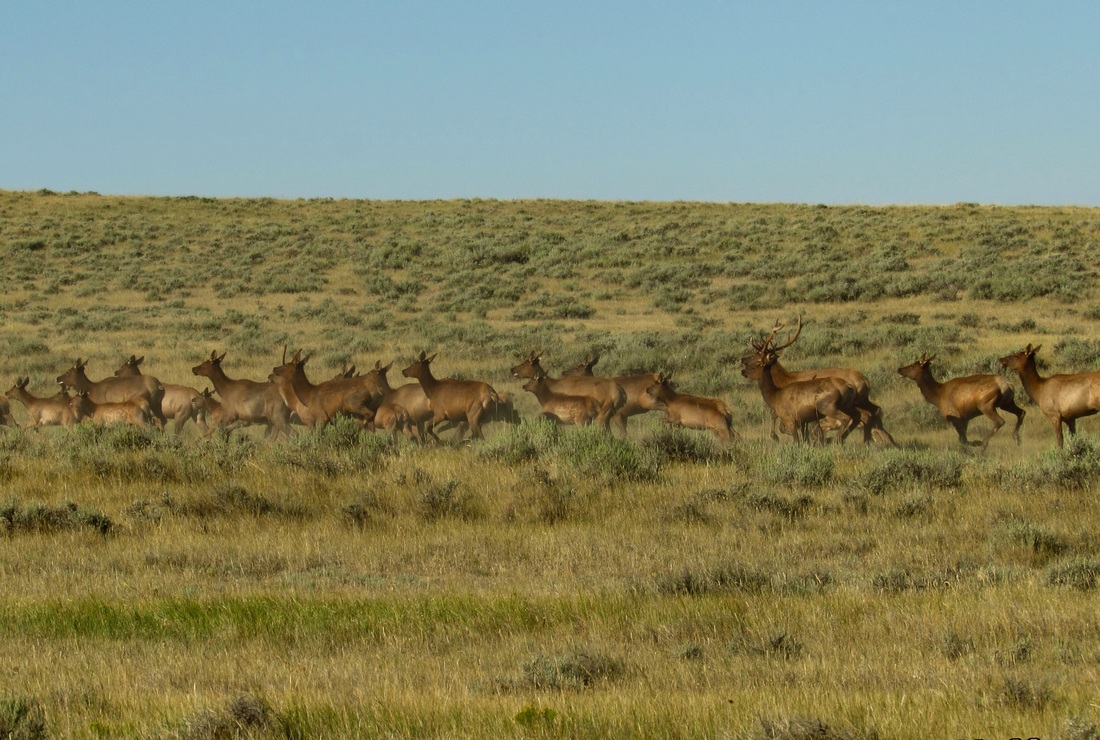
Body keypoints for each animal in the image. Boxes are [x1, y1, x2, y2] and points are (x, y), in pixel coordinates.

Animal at [743, 316, 897, 444]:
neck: (782, 381)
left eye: (756, 355)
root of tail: (865, 381)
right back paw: (885, 441)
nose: (742, 360)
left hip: (851, 403)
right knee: (875, 411)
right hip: (864, 400)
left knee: (864, 416)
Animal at [897, 351, 1025, 444]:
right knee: (1021, 412)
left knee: (1000, 421)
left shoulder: (955, 417)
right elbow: (963, 439)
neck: (936, 396)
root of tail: (1007, 384)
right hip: (1007, 403)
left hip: (986, 405)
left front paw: (976, 444)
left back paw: (983, 443)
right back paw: (1016, 438)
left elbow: (963, 439)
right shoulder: (965, 418)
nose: (899, 369)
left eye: (912, 365)